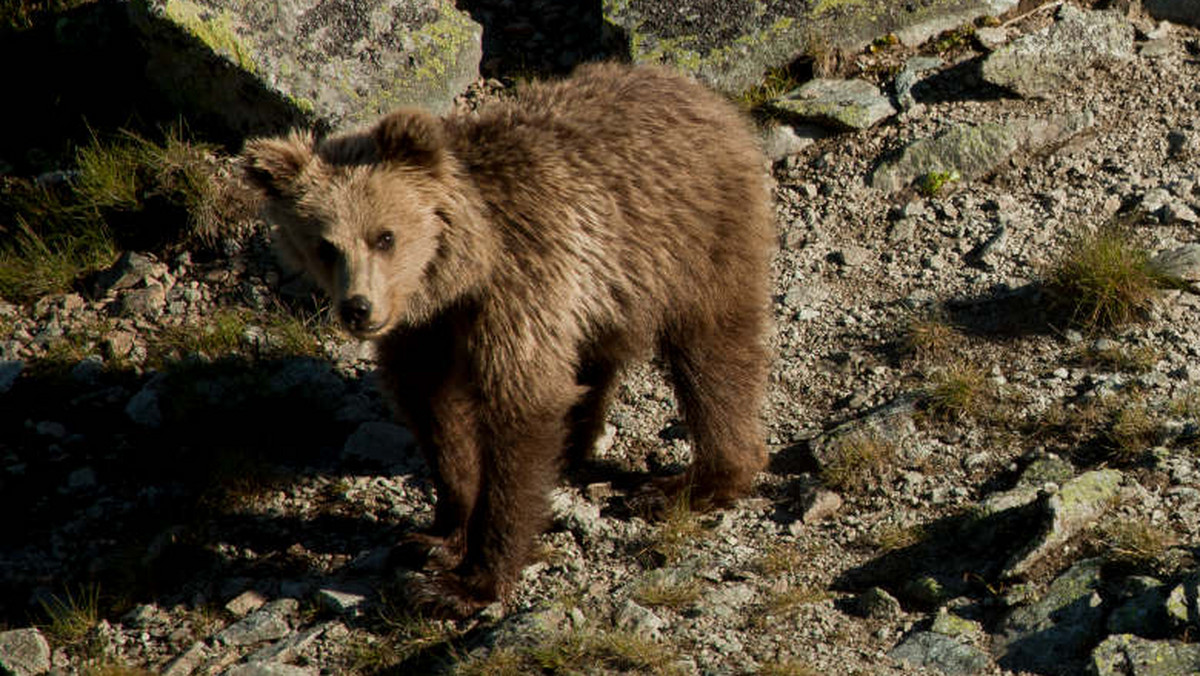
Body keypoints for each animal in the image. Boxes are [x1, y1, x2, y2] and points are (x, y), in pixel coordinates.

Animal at [238, 62, 772, 619]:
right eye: (324, 246)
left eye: (384, 236)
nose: (358, 308)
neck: (462, 270)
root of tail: (700, 93)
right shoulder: (427, 329)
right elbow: (433, 410)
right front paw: (439, 535)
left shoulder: (520, 284)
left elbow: (522, 409)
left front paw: (467, 582)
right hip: (611, 282)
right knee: (595, 358)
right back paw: (577, 446)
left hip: (691, 235)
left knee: (712, 351)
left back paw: (691, 482)